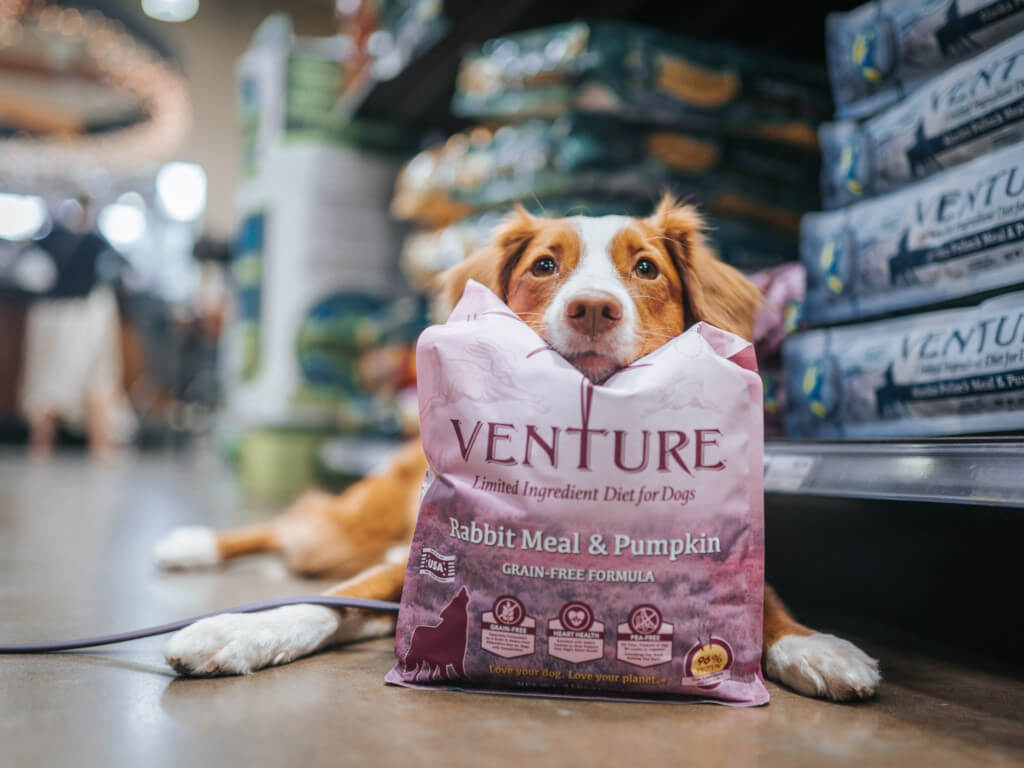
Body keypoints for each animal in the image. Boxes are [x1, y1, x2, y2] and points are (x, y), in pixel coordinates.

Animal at [153, 195, 880, 700]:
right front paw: (236, 630)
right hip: (349, 527)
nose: (594, 309)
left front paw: (816, 648)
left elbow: (769, 605)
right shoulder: (411, 572)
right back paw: (191, 545)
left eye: (646, 268)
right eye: (544, 265)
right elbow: (324, 602)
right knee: (290, 525)